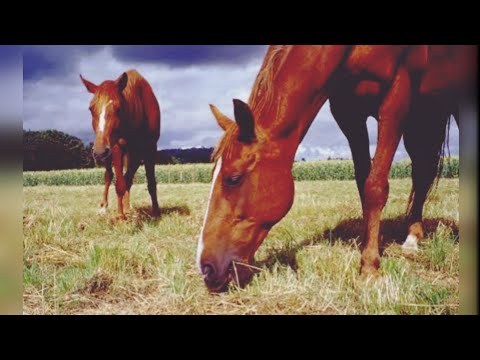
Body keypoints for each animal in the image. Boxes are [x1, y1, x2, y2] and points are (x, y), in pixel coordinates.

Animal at [79, 69, 160, 218]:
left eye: (118, 108)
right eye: (91, 109)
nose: (99, 152)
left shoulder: (150, 148)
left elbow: (148, 182)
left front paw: (156, 212)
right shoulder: (117, 148)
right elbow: (120, 183)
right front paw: (120, 216)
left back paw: (128, 207)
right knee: (108, 176)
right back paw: (104, 206)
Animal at [196, 45, 476, 292]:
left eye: (234, 178)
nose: (206, 269)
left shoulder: (395, 98)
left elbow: (376, 186)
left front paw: (369, 269)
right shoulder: (347, 111)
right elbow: (364, 184)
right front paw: (370, 247)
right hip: (425, 111)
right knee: (422, 172)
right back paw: (413, 236)